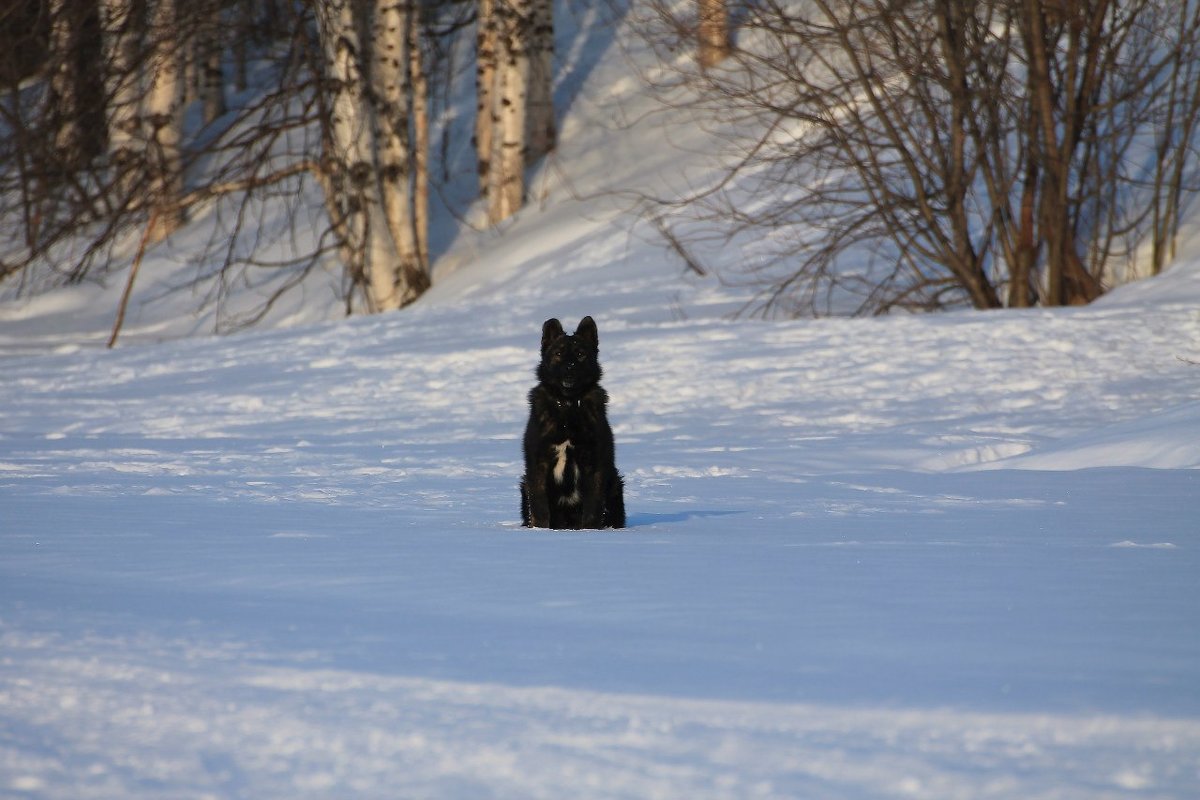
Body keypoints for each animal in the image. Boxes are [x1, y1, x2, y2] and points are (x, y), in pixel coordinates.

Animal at [520, 316, 628, 527]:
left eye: (580, 354)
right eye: (558, 353)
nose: (569, 370)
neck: (569, 405)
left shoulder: (593, 464)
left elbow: (592, 509)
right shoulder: (538, 465)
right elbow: (539, 507)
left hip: (615, 483)